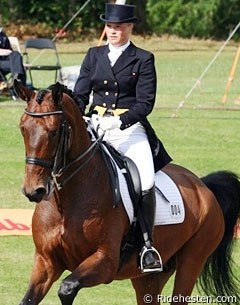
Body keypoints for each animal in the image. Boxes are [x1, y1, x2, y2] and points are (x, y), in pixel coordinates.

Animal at [15, 81, 240, 304]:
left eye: (53, 132)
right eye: (23, 128)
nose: (34, 190)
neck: (67, 201)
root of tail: (203, 186)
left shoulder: (106, 261)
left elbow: (67, 288)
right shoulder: (46, 262)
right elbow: (28, 299)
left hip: (192, 260)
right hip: (149, 277)